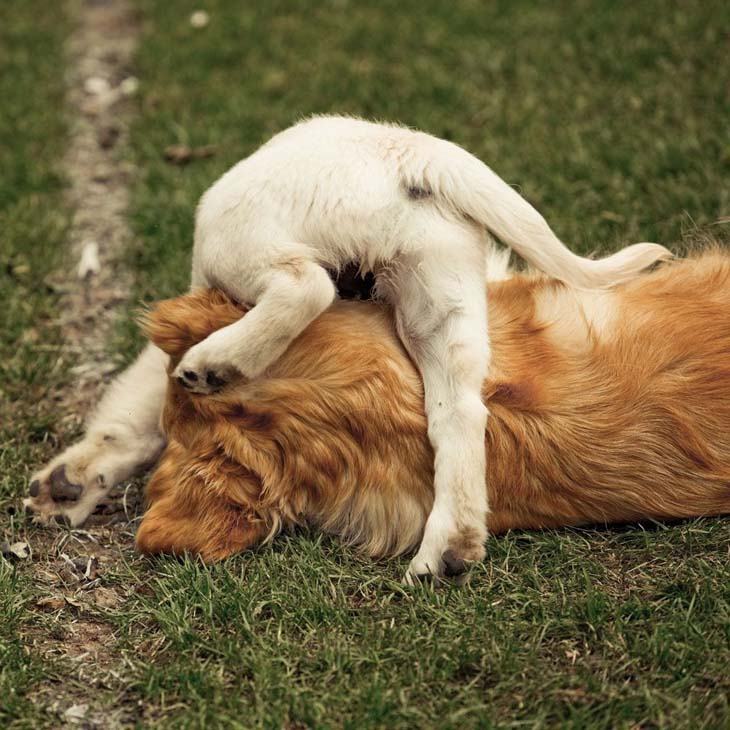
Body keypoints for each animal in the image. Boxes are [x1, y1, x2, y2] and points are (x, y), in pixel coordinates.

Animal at [25, 115, 668, 580]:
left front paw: (69, 480)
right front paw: (68, 487)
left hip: (233, 237)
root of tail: (409, 150)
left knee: (305, 285)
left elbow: (132, 416)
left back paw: (220, 362)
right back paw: (450, 547)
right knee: (460, 413)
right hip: (440, 298)